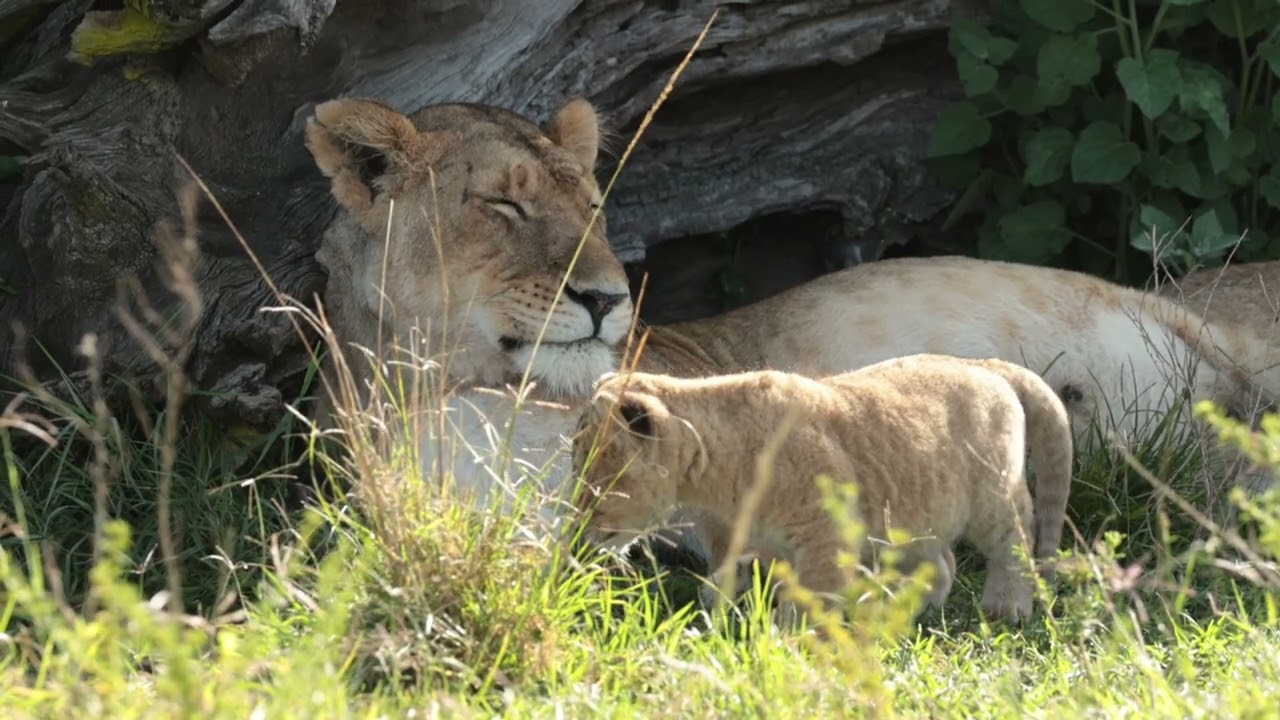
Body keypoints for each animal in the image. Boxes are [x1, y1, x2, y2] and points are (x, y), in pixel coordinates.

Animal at [571, 355, 1074, 624]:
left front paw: (785, 640)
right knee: (944, 565)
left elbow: (810, 598)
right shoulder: (753, 540)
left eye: (595, 485)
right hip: (915, 516)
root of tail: (982, 363)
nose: (576, 533)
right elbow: (738, 574)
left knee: (1016, 543)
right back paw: (895, 608)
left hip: (993, 499)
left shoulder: (826, 535)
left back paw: (1006, 608)